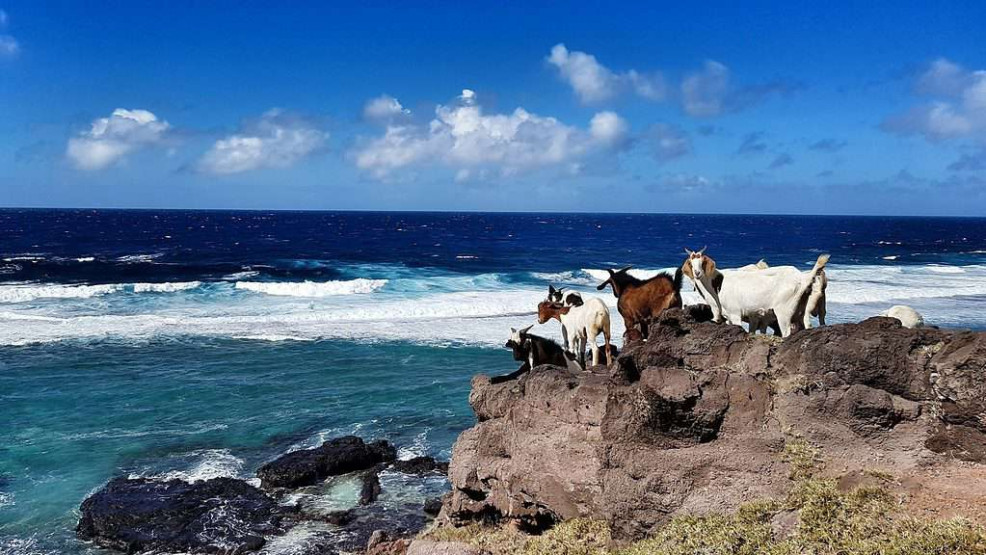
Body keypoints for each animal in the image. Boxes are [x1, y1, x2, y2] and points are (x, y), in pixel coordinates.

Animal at [684, 249, 832, 336]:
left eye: (702, 262)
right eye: (691, 263)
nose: (697, 273)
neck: (718, 284)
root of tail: (802, 277)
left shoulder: (735, 313)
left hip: (784, 311)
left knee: (787, 332)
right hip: (802, 310)